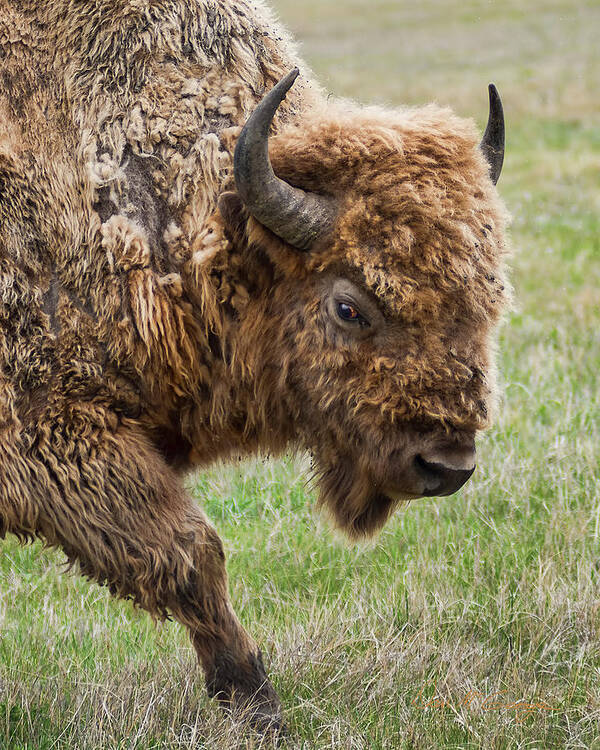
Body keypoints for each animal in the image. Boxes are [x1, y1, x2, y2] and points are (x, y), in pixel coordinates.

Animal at [0, 0, 506, 736]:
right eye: (349, 306)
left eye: (489, 299)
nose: (446, 466)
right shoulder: (54, 437)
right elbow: (190, 553)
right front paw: (258, 704)